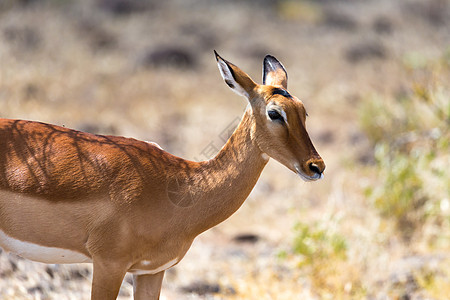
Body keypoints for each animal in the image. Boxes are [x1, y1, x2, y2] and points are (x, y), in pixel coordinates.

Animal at [0, 51, 324, 298]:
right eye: (274, 113)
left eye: (304, 111)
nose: (316, 166)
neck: (177, 187)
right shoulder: (109, 264)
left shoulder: (151, 271)